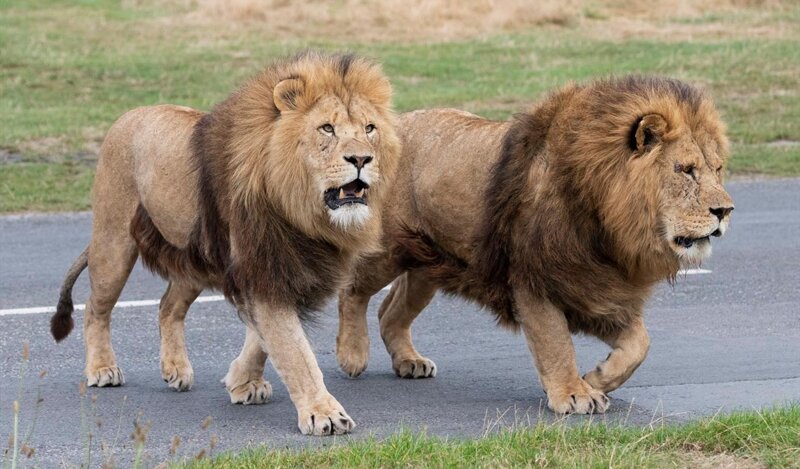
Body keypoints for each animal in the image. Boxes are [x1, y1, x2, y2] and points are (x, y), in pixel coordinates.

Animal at [50, 49, 400, 434]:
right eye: (327, 128)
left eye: (369, 129)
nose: (361, 158)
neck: (303, 212)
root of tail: (128, 115)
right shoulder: (266, 269)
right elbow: (295, 351)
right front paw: (323, 413)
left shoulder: (279, 271)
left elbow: (264, 340)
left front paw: (242, 382)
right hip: (113, 243)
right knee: (96, 308)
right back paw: (102, 368)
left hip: (193, 258)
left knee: (168, 307)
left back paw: (175, 369)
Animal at [334, 76, 736, 414]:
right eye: (685, 170)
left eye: (717, 169)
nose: (725, 210)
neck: (609, 224)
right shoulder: (534, 279)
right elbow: (555, 341)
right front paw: (573, 394)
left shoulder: (598, 289)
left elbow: (641, 343)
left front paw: (598, 378)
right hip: (386, 251)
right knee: (351, 290)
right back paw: (352, 354)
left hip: (429, 265)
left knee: (390, 310)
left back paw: (409, 361)